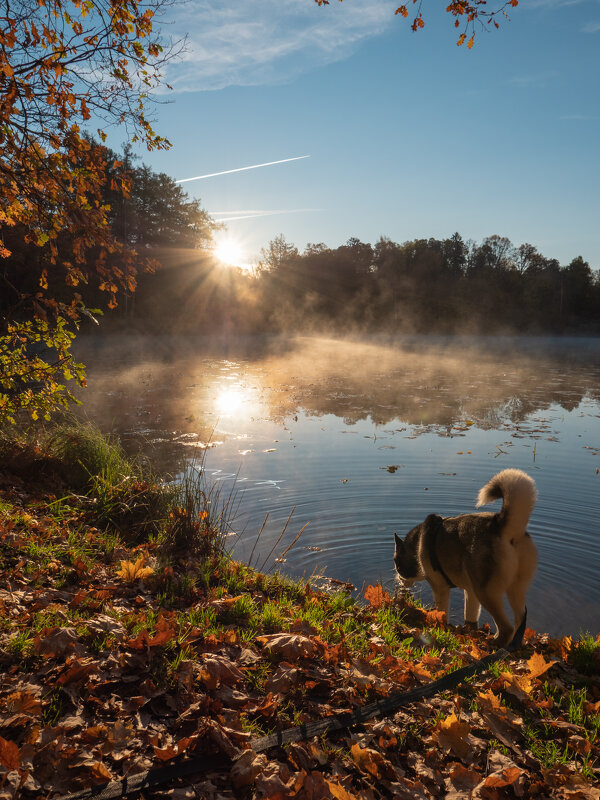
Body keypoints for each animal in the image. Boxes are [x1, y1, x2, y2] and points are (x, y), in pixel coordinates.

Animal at [394, 468, 540, 648]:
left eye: (397, 565)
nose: (398, 580)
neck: (418, 542)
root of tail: (501, 526)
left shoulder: (440, 587)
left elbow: (442, 611)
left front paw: (440, 626)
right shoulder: (470, 592)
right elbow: (470, 617)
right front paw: (469, 631)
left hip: (486, 592)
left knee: (507, 627)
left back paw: (495, 643)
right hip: (515, 589)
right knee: (520, 619)